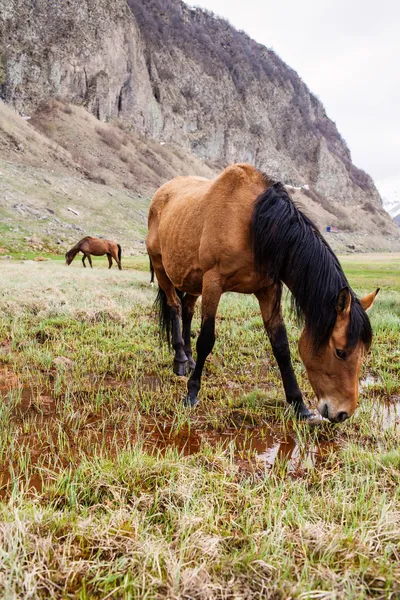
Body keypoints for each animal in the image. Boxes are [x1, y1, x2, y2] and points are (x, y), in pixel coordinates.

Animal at [147, 164, 378, 424]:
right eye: (340, 352)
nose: (343, 413)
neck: (251, 222)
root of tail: (162, 193)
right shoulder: (213, 282)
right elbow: (206, 340)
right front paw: (192, 393)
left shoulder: (268, 289)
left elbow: (281, 345)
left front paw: (298, 404)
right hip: (162, 267)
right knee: (175, 307)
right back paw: (180, 360)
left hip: (194, 281)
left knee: (187, 310)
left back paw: (188, 357)